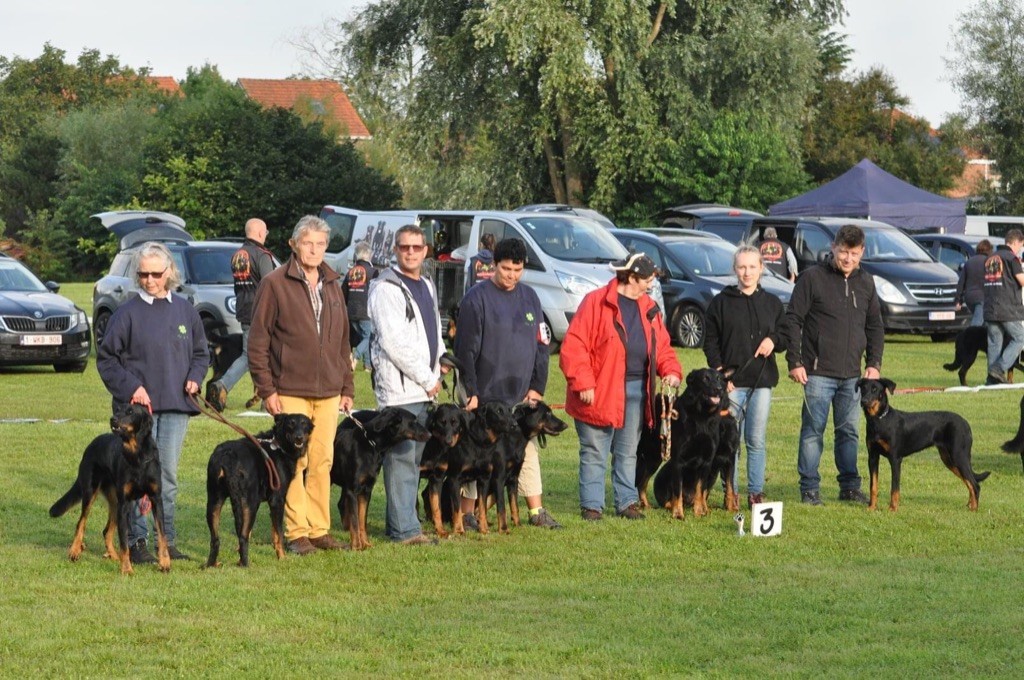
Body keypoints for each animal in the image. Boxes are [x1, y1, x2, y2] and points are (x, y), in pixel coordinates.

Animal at [49, 403, 172, 573]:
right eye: (118, 410)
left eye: (130, 412)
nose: (112, 419)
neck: (137, 455)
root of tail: (92, 444)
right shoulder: (125, 503)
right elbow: (124, 542)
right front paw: (127, 569)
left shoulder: (156, 499)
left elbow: (162, 535)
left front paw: (165, 563)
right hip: (92, 492)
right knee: (81, 522)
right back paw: (74, 551)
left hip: (115, 502)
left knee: (106, 530)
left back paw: (113, 555)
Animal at [199, 413, 311, 569]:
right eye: (291, 424)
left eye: (304, 424)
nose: (299, 437)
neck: (278, 444)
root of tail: (228, 456)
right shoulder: (277, 500)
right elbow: (278, 533)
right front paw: (282, 558)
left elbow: (267, 531)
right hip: (249, 503)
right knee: (242, 537)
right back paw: (245, 565)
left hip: (214, 500)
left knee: (216, 539)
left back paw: (212, 564)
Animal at [333, 409, 430, 548]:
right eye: (414, 421)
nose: (430, 434)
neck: (371, 445)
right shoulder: (352, 490)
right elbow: (355, 520)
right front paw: (356, 546)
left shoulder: (366, 491)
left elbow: (362, 520)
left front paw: (366, 543)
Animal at [655, 368, 737, 518]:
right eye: (705, 378)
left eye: (719, 378)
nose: (718, 389)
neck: (702, 417)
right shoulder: (678, 460)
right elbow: (678, 491)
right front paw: (678, 514)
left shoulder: (716, 460)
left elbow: (706, 489)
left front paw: (700, 512)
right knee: (670, 498)